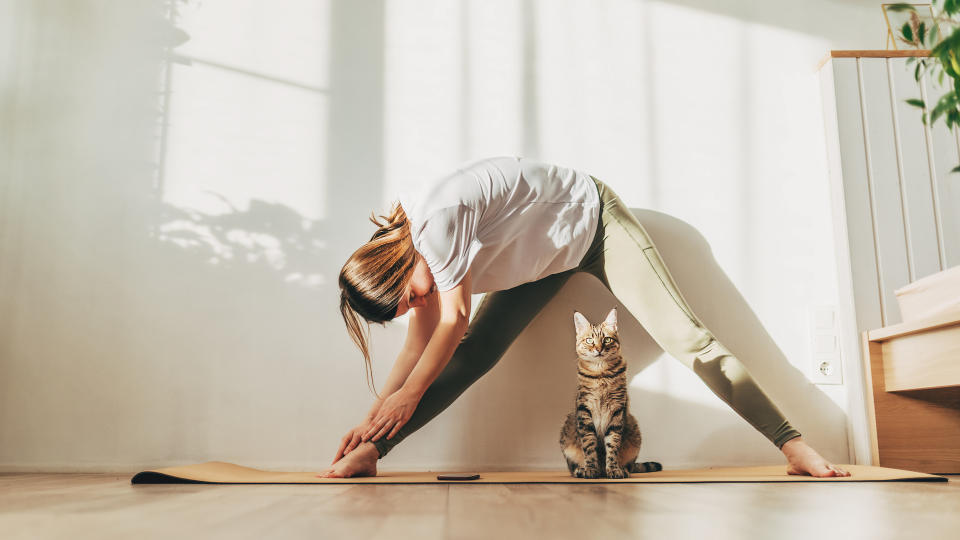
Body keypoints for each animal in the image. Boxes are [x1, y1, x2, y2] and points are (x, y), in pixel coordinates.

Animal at [564, 306, 660, 478]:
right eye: (589, 340)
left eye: (607, 339)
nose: (598, 349)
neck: (601, 372)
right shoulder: (584, 409)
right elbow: (589, 445)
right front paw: (590, 468)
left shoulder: (617, 411)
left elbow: (613, 444)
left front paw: (614, 469)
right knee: (572, 465)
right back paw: (581, 470)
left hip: (634, 428)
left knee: (630, 465)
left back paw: (622, 469)